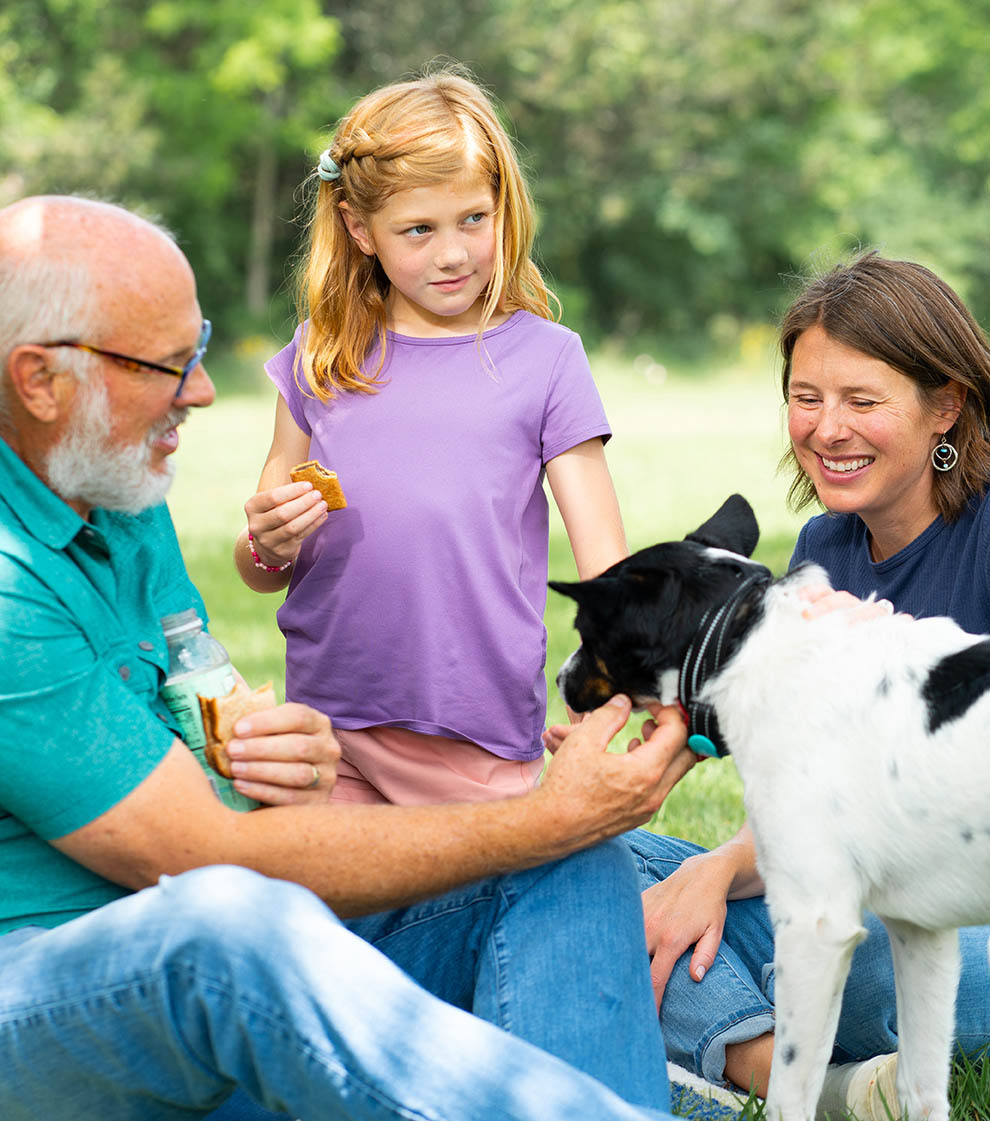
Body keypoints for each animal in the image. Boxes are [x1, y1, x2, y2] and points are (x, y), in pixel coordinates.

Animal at [553, 495, 986, 1121]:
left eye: (585, 632)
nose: (559, 680)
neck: (745, 642)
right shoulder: (920, 932)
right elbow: (921, 1088)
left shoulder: (814, 930)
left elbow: (788, 1093)